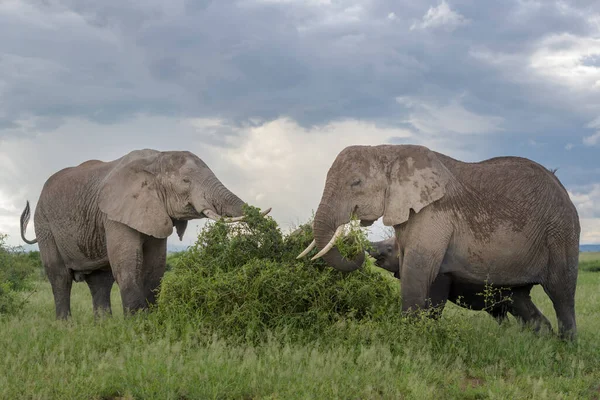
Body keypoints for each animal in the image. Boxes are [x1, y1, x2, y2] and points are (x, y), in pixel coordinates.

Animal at [21, 148, 270, 320]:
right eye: (186, 181)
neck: (157, 160)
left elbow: (154, 268)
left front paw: (149, 322)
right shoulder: (115, 215)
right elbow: (129, 265)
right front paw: (135, 326)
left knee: (100, 281)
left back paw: (104, 326)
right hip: (45, 224)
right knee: (60, 277)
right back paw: (66, 326)